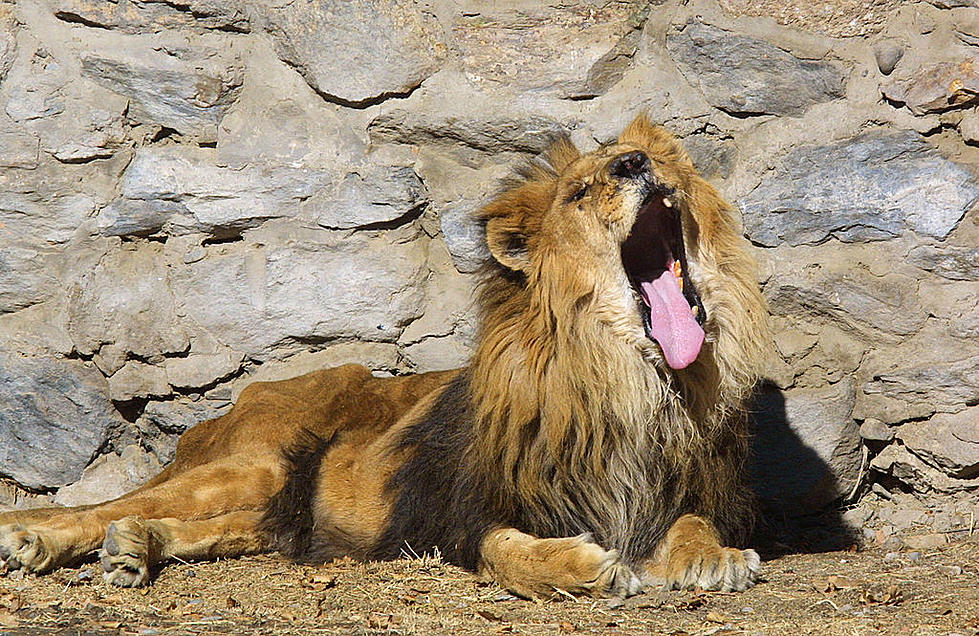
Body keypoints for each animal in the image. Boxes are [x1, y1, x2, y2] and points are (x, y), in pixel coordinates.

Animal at [0, 115, 772, 600]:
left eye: (660, 163)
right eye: (583, 190)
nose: (636, 163)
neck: (635, 385)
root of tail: (247, 394)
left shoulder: (692, 488)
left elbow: (695, 522)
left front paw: (710, 559)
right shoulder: (454, 515)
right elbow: (504, 550)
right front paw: (580, 568)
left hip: (281, 507)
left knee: (201, 529)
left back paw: (134, 549)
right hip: (254, 463)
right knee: (106, 506)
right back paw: (34, 540)